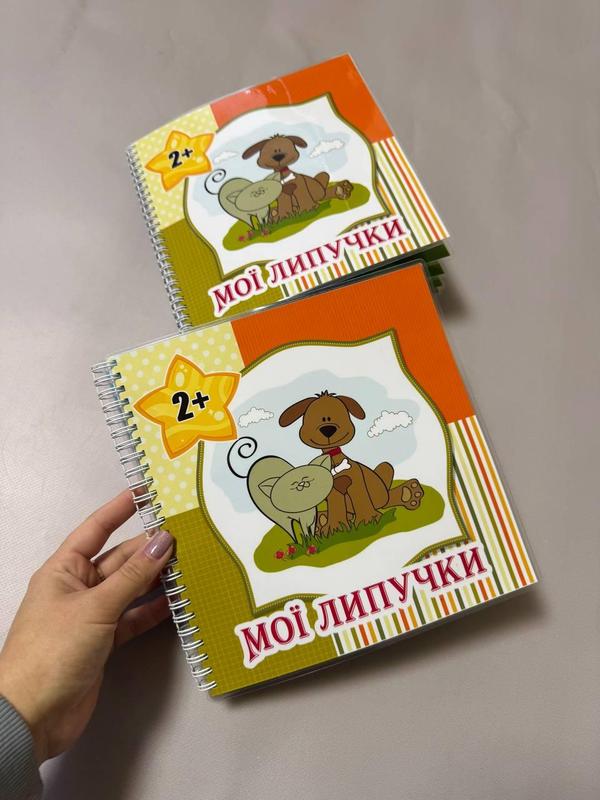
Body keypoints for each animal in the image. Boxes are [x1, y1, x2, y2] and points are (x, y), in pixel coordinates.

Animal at [279, 391, 423, 535]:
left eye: (340, 411)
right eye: (312, 415)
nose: (328, 429)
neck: (334, 459)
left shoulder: (356, 480)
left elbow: (361, 499)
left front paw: (368, 520)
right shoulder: (332, 490)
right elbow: (335, 506)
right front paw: (333, 528)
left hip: (379, 490)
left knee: (385, 499)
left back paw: (410, 493)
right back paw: (323, 520)